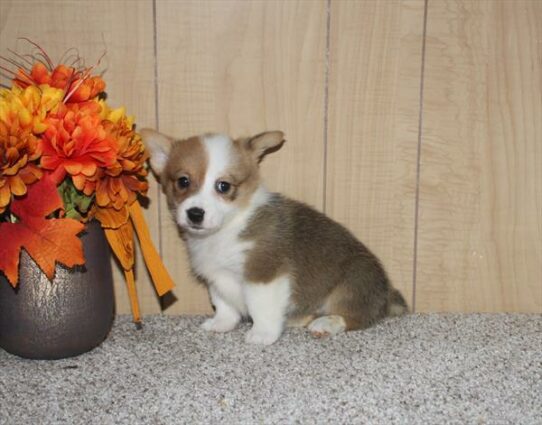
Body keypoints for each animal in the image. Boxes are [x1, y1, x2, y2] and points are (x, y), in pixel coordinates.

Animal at [140, 129, 408, 344]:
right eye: (183, 181)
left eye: (224, 186)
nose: (195, 214)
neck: (229, 228)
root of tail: (387, 292)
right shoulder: (216, 277)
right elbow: (224, 305)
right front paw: (221, 324)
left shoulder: (264, 274)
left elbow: (261, 308)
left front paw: (262, 335)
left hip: (350, 285)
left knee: (355, 316)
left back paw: (326, 324)